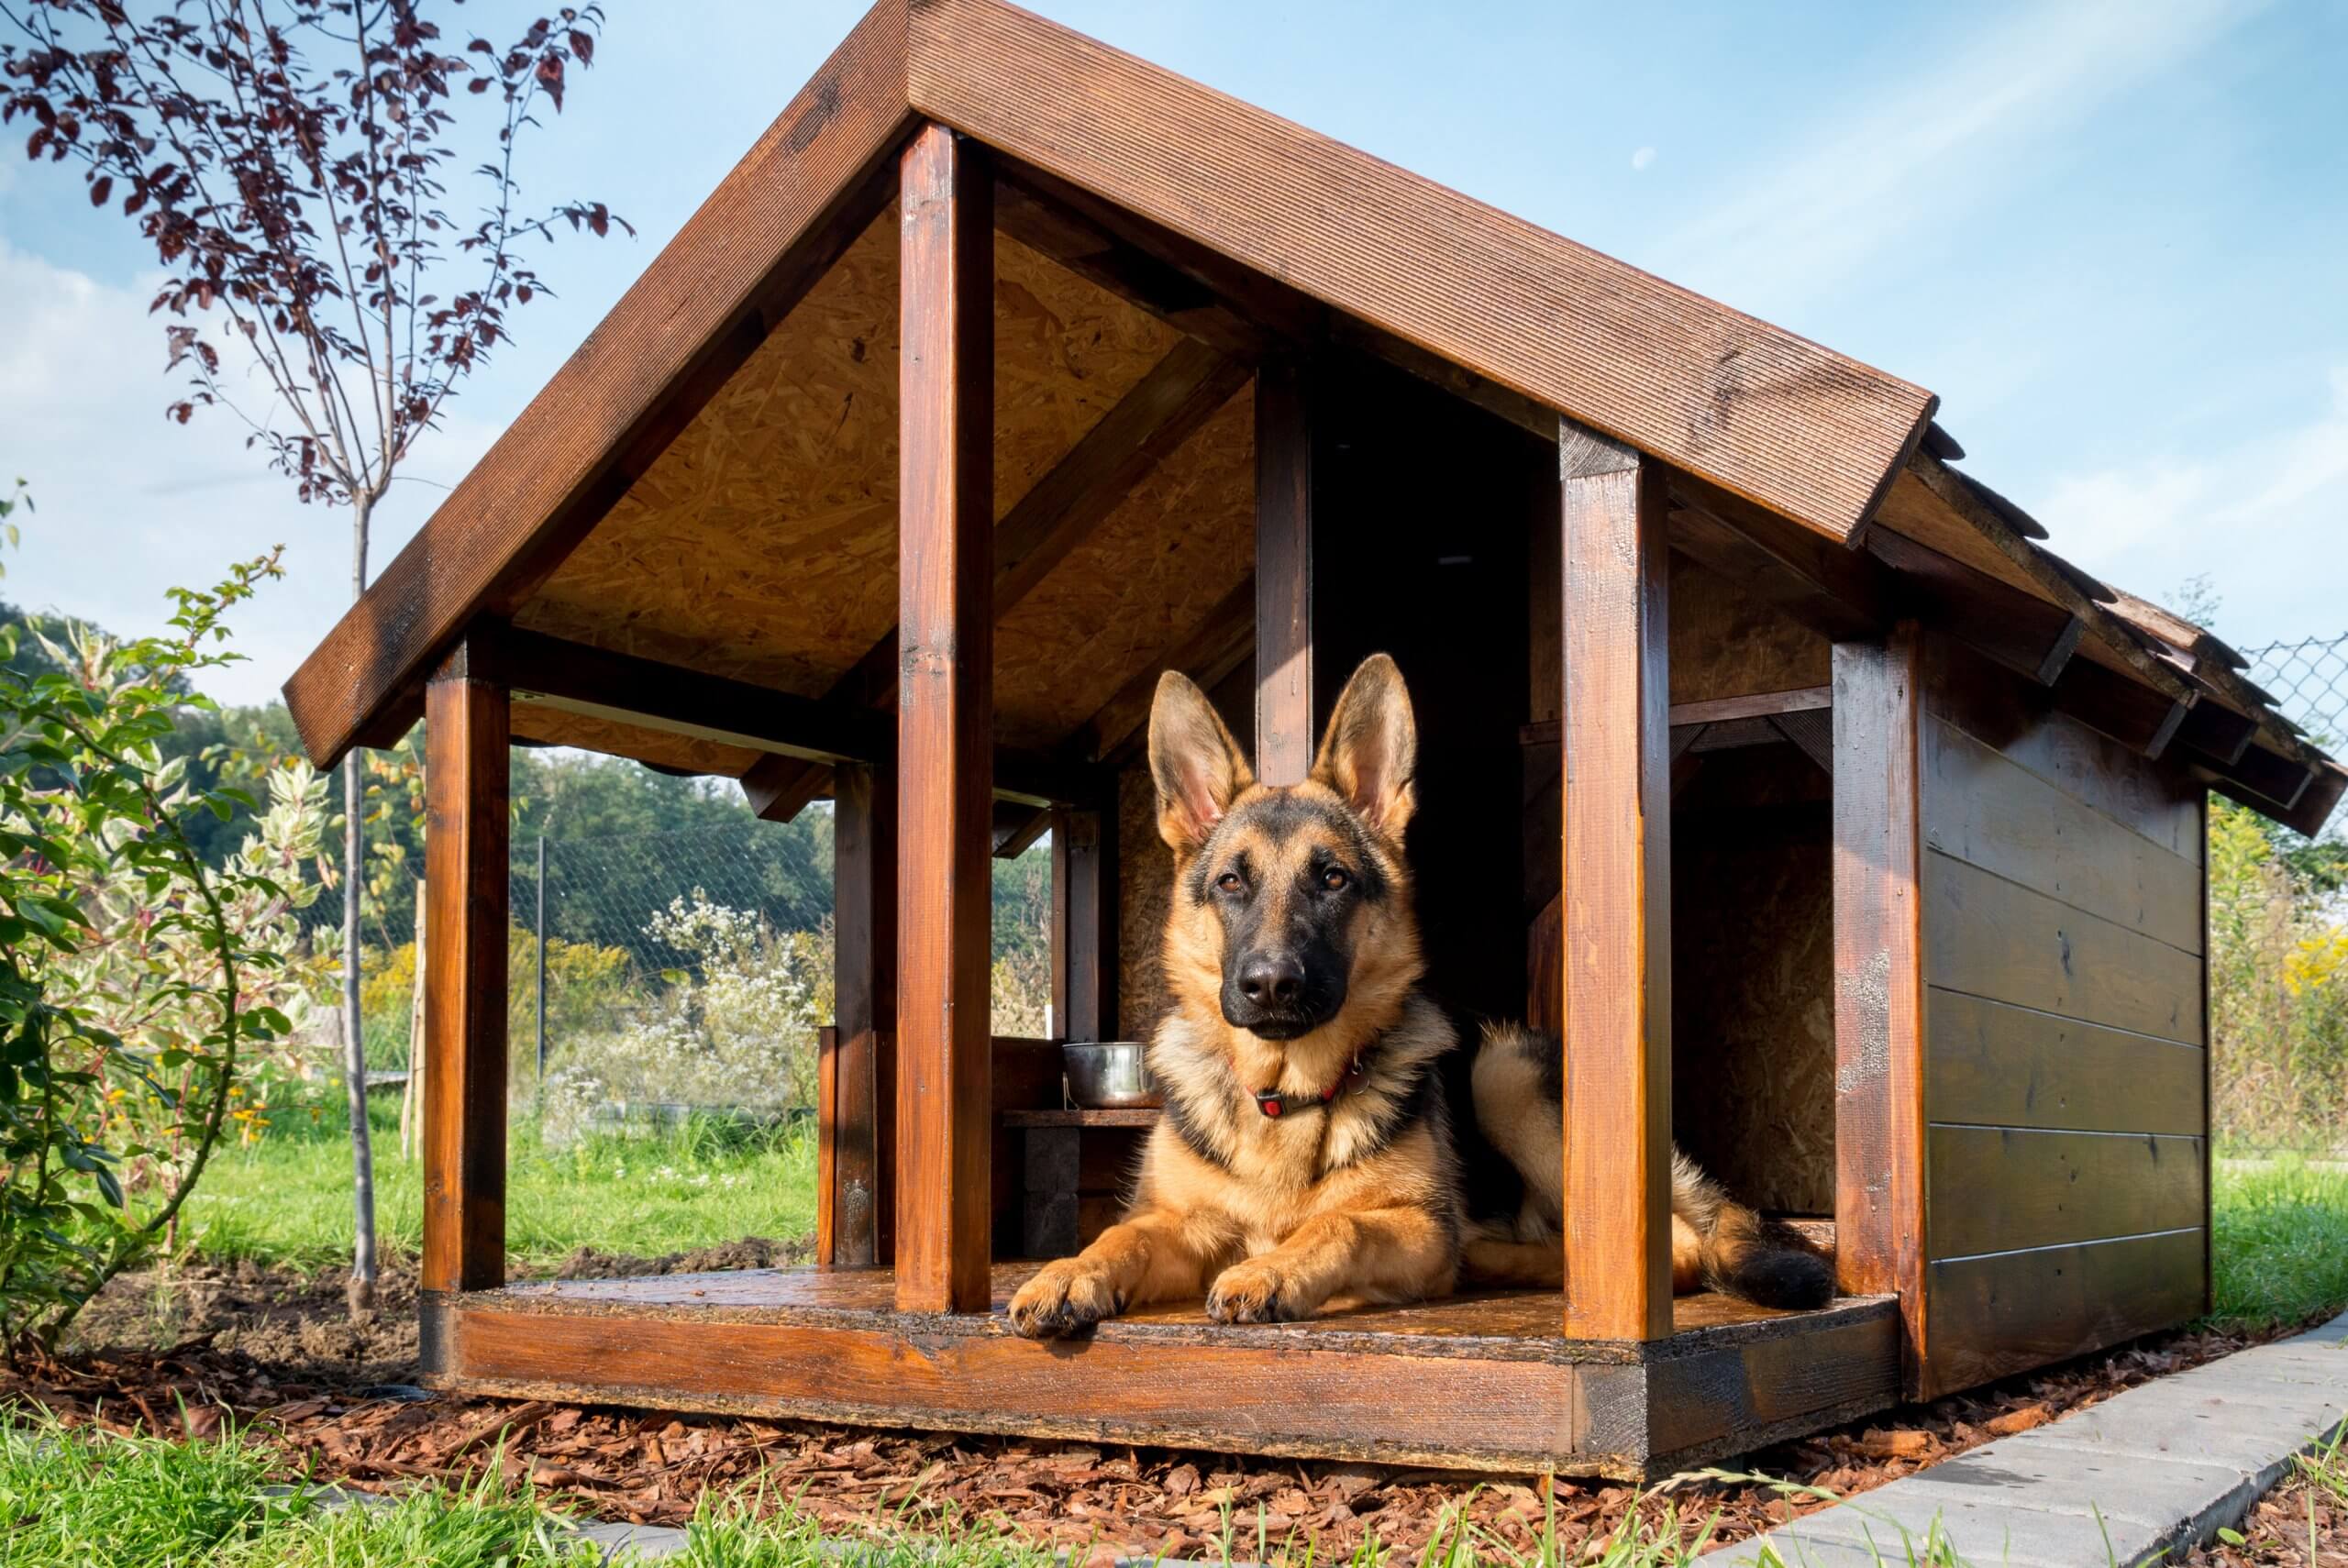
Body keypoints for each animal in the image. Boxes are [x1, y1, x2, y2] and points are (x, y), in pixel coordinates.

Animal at [1009, 657, 1831, 1342]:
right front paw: (1066, 1273)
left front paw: (1273, 1268)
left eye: (1332, 878)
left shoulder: (1408, 1225)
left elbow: (1342, 1227)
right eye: (1232, 882)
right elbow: (1123, 1234)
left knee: (1675, 1247)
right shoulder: (1181, 1223)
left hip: (1503, 1073)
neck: (1286, 1099)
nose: (1271, 985)